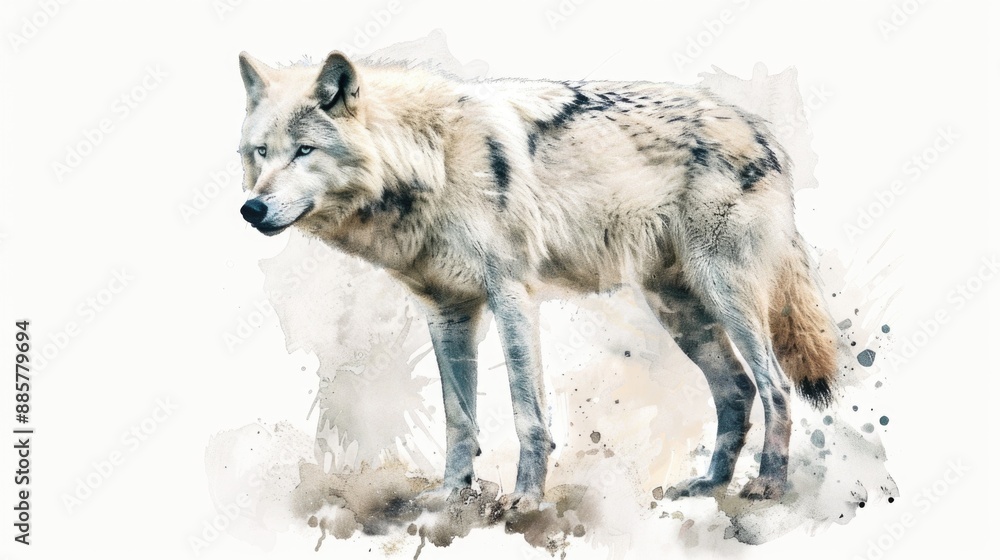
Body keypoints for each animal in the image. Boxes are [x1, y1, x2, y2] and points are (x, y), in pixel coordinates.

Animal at [236, 50, 839, 505]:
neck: (432, 160)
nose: (251, 209)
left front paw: (526, 499)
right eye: (261, 153)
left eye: (305, 151)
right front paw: (450, 496)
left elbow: (527, 413)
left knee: (775, 386)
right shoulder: (446, 312)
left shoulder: (511, 296)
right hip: (680, 313)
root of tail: (759, 128)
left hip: (727, 296)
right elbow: (460, 419)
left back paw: (768, 485)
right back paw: (709, 484)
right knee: (736, 390)